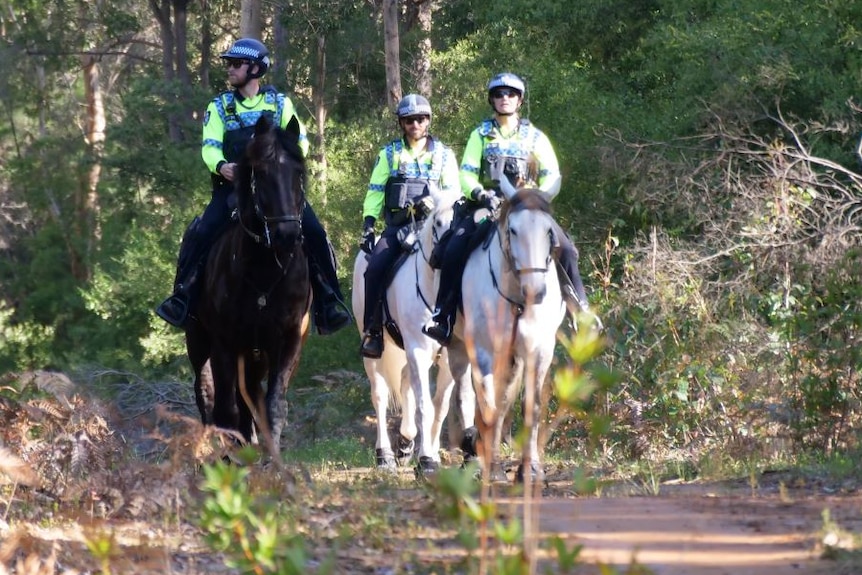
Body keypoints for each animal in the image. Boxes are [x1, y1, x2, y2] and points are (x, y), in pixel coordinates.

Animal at [186, 115, 310, 454]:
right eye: (262, 174)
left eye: (298, 172)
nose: (287, 236)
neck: (264, 273)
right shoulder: (224, 343)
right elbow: (224, 408)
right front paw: (230, 457)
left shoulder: (287, 339)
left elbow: (274, 403)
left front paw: (271, 456)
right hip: (198, 341)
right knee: (205, 392)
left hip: (255, 355)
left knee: (250, 394)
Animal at [352, 198, 480, 476]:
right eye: (438, 222)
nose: (441, 257)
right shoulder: (418, 351)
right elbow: (425, 406)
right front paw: (427, 460)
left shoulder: (446, 358)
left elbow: (440, 408)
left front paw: (429, 453)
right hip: (374, 351)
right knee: (380, 395)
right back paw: (385, 456)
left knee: (404, 384)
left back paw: (405, 443)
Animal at [448, 179, 572, 482]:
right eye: (513, 230)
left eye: (549, 230)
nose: (535, 291)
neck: (516, 298)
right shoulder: (483, 352)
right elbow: (488, 406)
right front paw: (492, 468)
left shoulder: (538, 352)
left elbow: (531, 406)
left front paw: (530, 469)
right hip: (458, 348)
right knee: (465, 396)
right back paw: (472, 452)